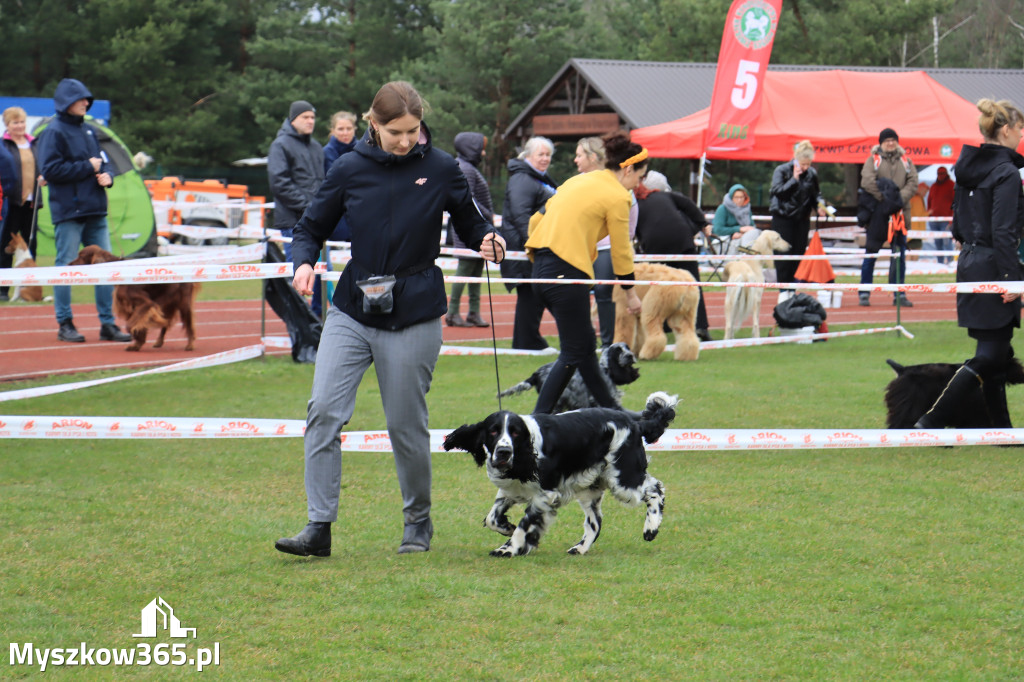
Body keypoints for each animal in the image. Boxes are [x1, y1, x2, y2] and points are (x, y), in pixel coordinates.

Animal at [69, 244, 198, 350]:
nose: (68, 264)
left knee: (189, 325)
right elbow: (136, 325)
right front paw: (137, 344)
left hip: (183, 303)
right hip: (166, 303)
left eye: (81, 256)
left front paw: (137, 341)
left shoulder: (145, 304)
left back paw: (190, 345)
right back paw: (159, 342)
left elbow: (130, 325)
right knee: (166, 324)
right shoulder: (134, 306)